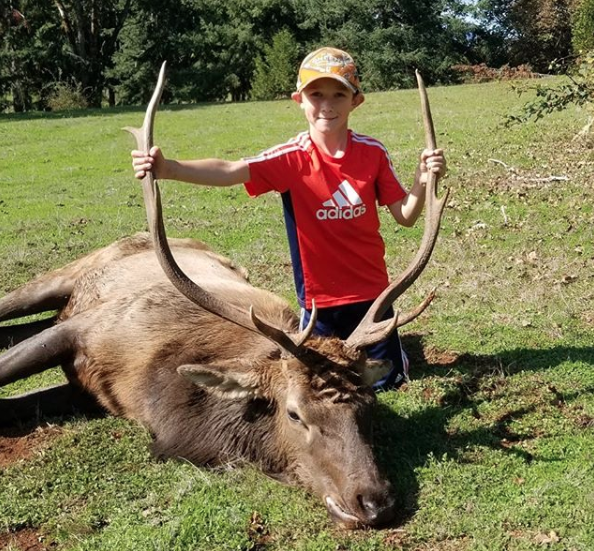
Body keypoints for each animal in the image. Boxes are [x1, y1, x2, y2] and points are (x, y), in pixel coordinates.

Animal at [0, 67, 444, 528]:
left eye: (368, 405)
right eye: (294, 413)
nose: (375, 502)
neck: (158, 394)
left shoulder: (90, 389)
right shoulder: (87, 327)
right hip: (64, 278)